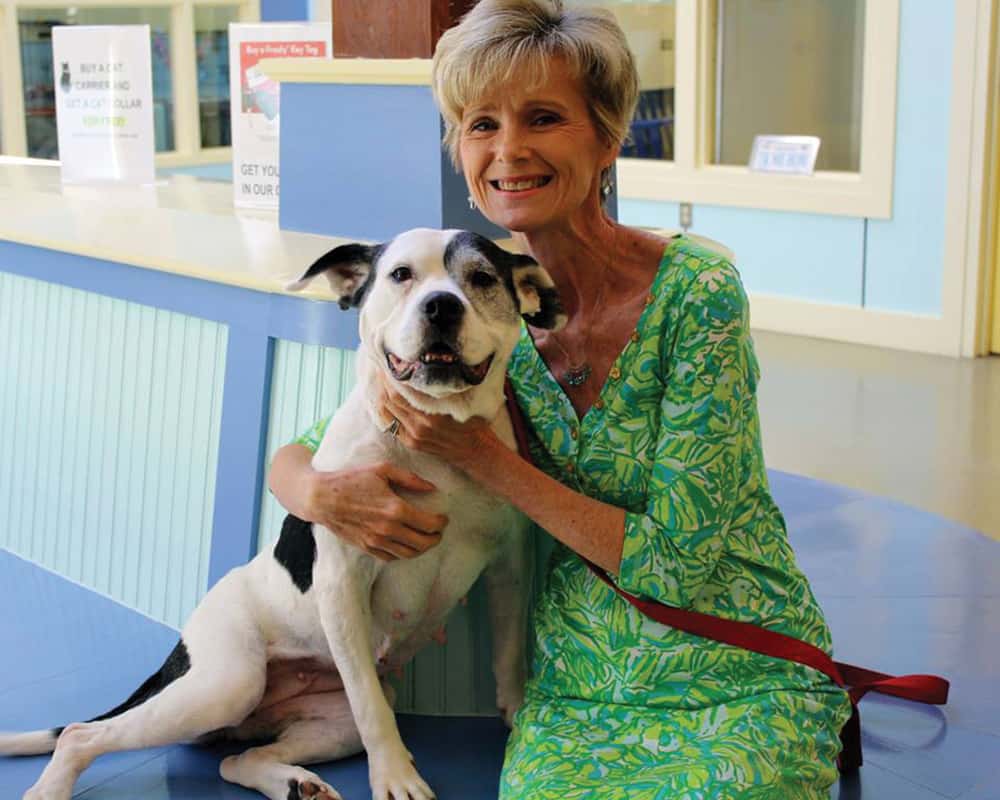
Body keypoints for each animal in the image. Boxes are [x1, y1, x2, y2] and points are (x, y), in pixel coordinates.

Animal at [0, 230, 568, 800]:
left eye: (482, 278)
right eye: (401, 275)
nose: (441, 305)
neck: (437, 439)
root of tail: (183, 651)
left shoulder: (509, 565)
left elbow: (508, 650)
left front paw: (516, 713)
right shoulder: (342, 582)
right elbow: (374, 714)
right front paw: (396, 777)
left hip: (325, 718)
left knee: (239, 759)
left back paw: (295, 783)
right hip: (226, 682)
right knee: (80, 734)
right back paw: (50, 788)